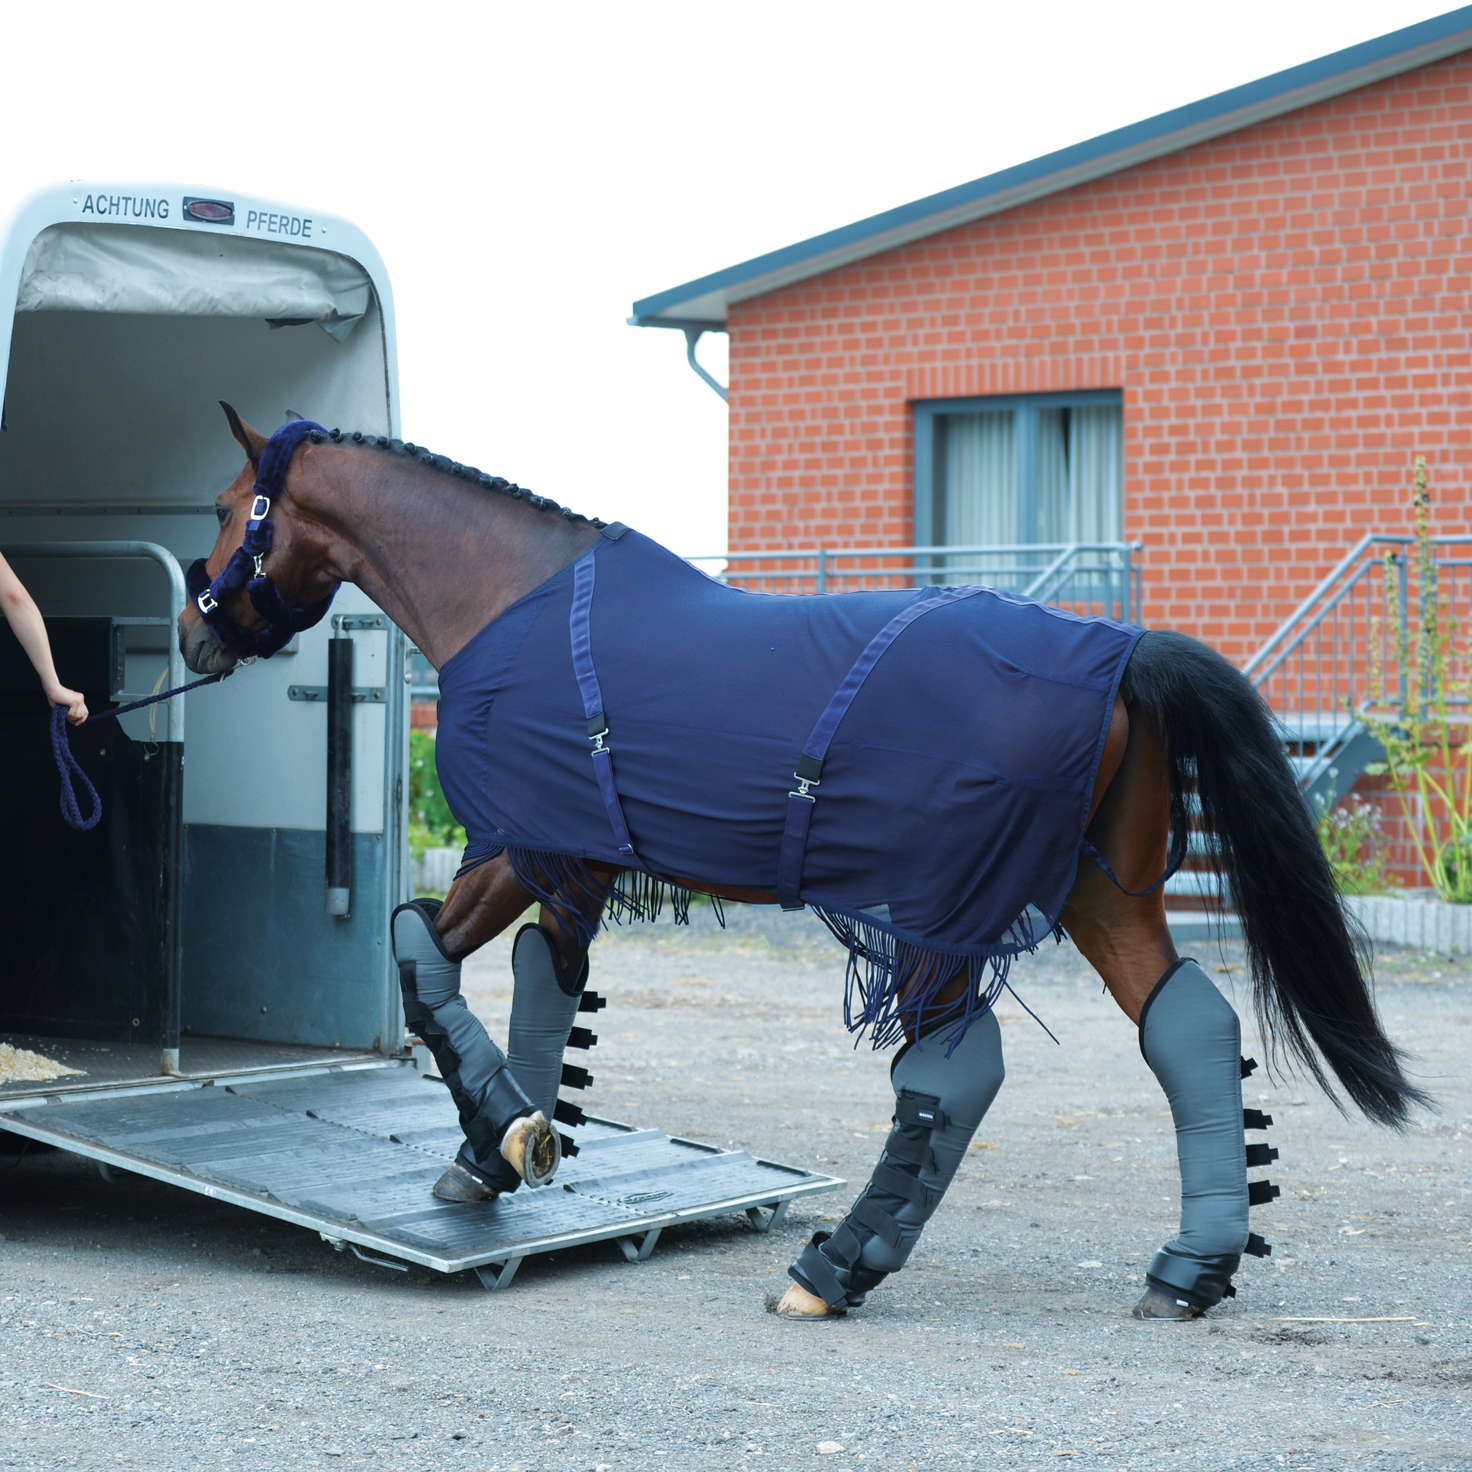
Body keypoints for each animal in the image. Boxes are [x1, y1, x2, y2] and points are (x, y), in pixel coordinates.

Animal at [175, 406, 1424, 1324]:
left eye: (233, 507)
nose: (193, 633)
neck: (506, 602)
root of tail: (1119, 652)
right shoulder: (573, 862)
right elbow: (543, 986)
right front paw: (499, 1150)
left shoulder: (520, 847)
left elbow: (417, 947)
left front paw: (500, 1129)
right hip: (1097, 894)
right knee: (1186, 1024)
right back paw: (1189, 1263)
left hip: (939, 912)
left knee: (956, 1070)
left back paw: (837, 1267)